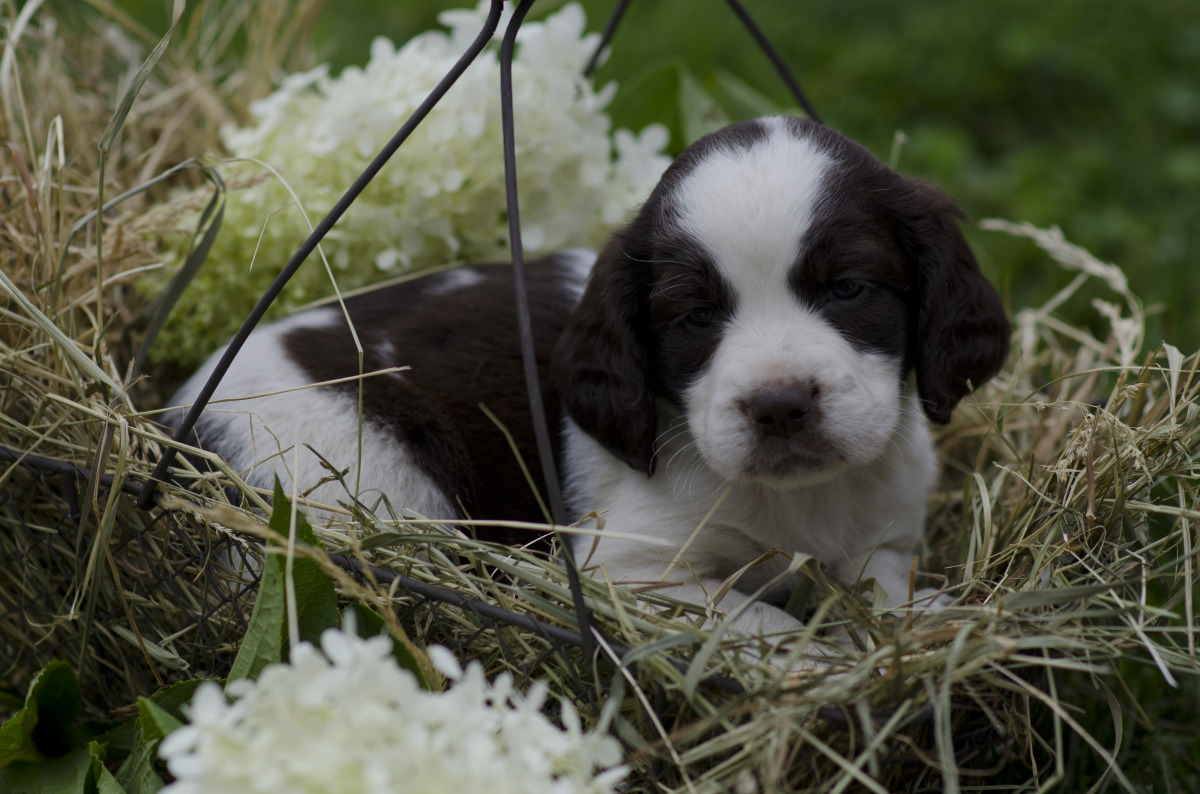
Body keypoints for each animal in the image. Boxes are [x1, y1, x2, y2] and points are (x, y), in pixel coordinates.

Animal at [166, 118, 1012, 638]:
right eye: (695, 317)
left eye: (847, 289)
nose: (779, 407)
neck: (804, 501)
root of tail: (175, 429)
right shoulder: (629, 572)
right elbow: (762, 622)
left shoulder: (885, 537)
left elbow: (888, 589)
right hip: (368, 486)